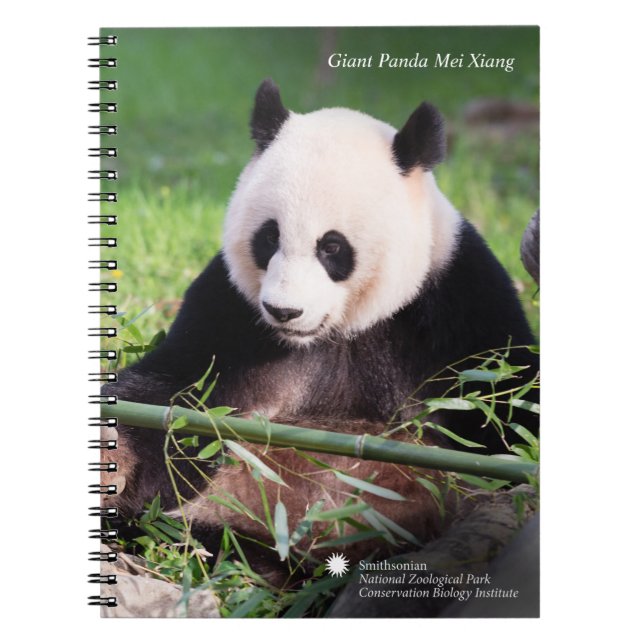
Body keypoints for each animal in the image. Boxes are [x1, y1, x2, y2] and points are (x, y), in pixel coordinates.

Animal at [102, 79, 538, 571]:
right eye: (269, 236)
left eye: (332, 247)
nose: (283, 311)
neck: (338, 330)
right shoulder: (229, 313)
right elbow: (175, 394)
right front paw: (111, 455)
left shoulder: (455, 305)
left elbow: (507, 409)